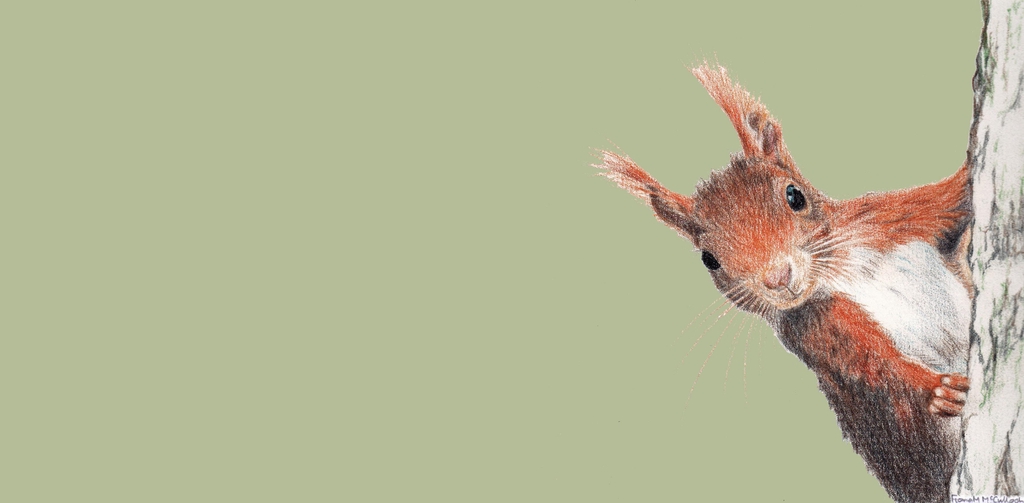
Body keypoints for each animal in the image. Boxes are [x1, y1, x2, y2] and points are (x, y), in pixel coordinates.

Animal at [596, 64, 972, 503]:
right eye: (709, 260)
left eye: (795, 196)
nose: (778, 278)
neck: (839, 267)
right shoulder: (813, 324)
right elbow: (871, 363)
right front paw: (934, 388)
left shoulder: (890, 217)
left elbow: (947, 200)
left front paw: (968, 172)